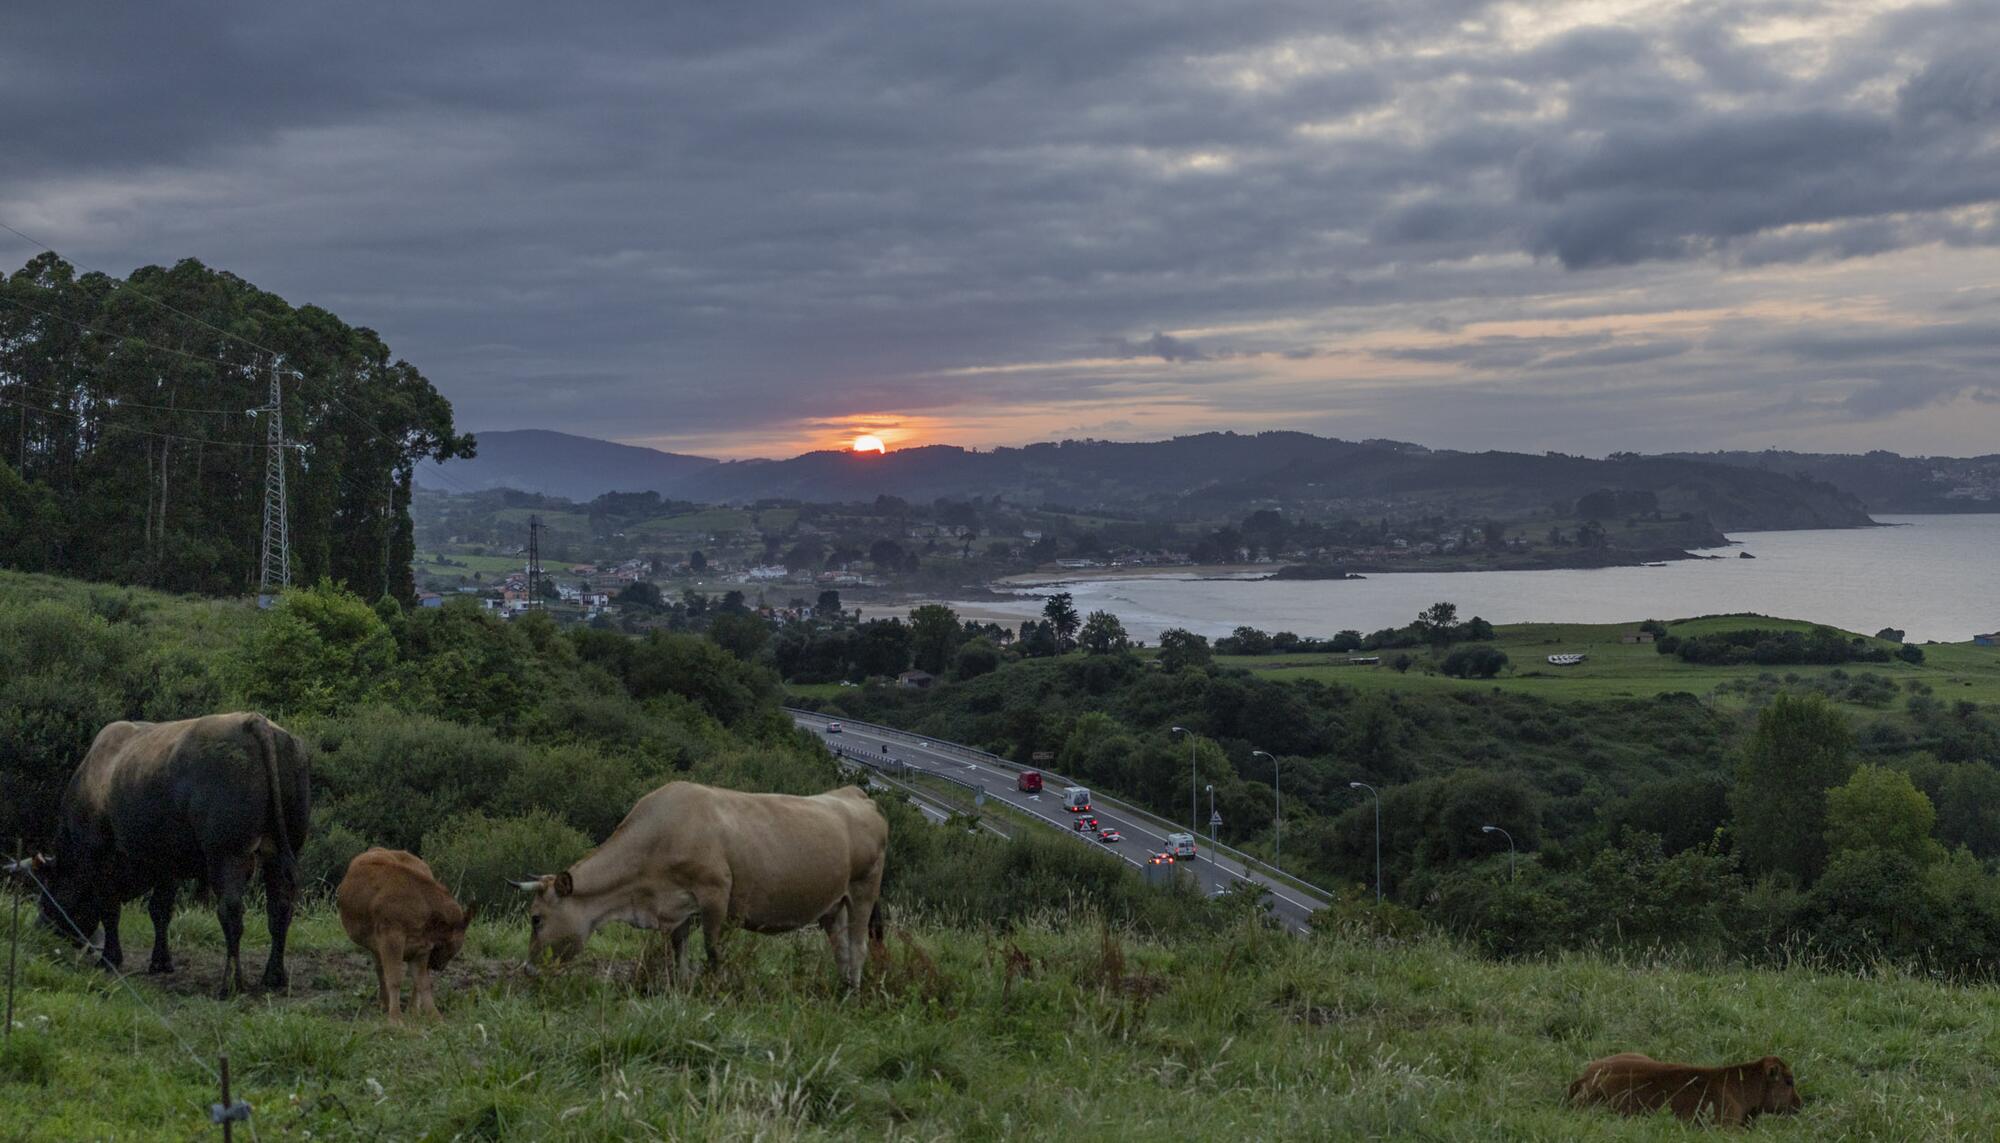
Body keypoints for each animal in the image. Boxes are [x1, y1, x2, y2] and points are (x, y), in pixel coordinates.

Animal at [340, 843, 476, 1023]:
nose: (439, 966)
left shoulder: (422, 947)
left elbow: (422, 983)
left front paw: (435, 1017)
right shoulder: (391, 940)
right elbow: (394, 978)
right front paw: (396, 1018)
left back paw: (411, 1009)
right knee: (381, 969)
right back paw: (387, 1004)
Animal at [516, 783, 884, 987]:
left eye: (536, 918)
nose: (529, 969)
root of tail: (854, 794)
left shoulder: (715, 893)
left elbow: (712, 949)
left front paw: (715, 987)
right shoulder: (677, 906)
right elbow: (680, 949)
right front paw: (683, 986)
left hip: (865, 888)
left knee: (858, 945)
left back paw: (853, 994)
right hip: (834, 903)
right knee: (840, 946)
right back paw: (840, 988)